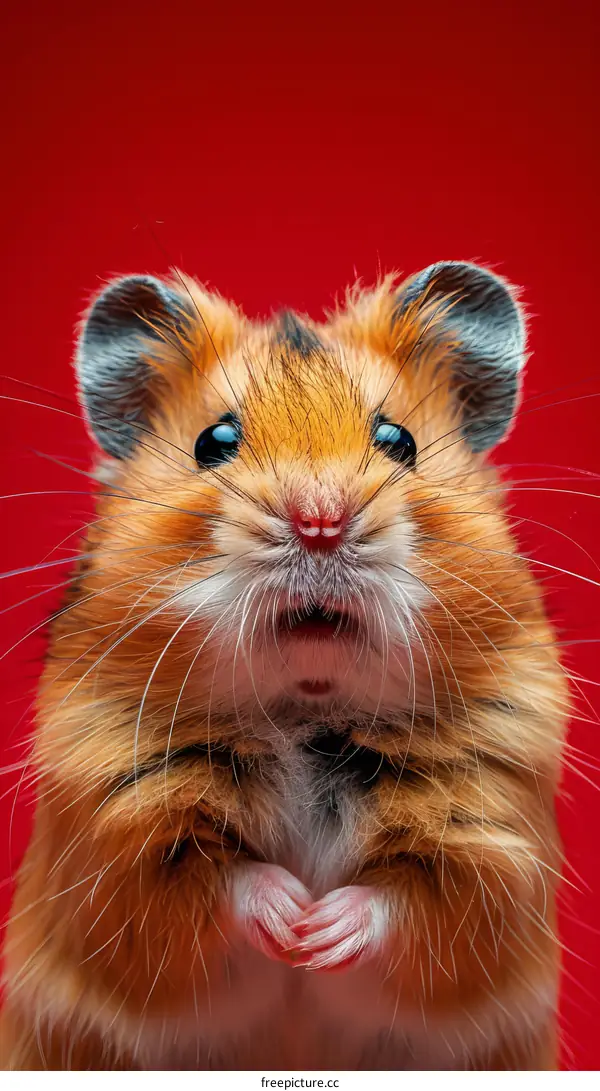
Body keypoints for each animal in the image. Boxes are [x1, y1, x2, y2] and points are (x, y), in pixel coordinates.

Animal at [0, 262, 568, 1070]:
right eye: (214, 441)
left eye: (398, 440)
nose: (320, 522)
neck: (307, 707)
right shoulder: (111, 842)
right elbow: (214, 880)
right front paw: (293, 921)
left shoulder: (493, 848)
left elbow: (416, 902)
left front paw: (318, 935)